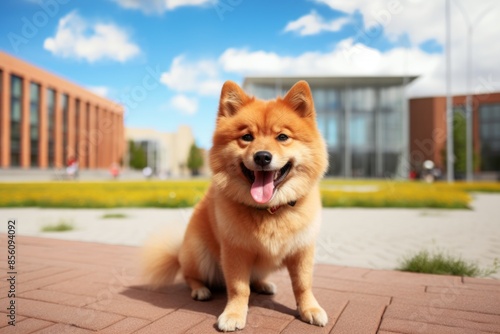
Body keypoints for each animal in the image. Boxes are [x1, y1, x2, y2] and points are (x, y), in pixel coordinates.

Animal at [143, 79, 328, 330]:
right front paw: (234, 314)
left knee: (256, 278)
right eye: (247, 137)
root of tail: (179, 252)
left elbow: (302, 284)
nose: (262, 156)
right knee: (189, 276)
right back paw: (201, 290)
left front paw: (310, 309)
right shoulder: (235, 251)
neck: (270, 210)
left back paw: (263, 284)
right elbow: (239, 288)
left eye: (282, 137)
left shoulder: (302, 250)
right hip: (199, 253)